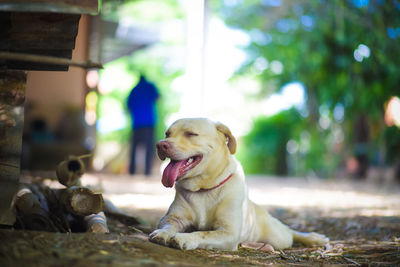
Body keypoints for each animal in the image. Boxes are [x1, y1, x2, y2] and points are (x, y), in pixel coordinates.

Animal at [149, 119, 328, 251]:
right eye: (167, 133)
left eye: (191, 134)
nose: (160, 144)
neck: (204, 188)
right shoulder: (174, 218)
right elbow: (168, 225)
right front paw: (163, 233)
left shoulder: (228, 232)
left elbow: (203, 233)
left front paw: (184, 237)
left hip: (278, 237)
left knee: (290, 232)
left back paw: (314, 238)